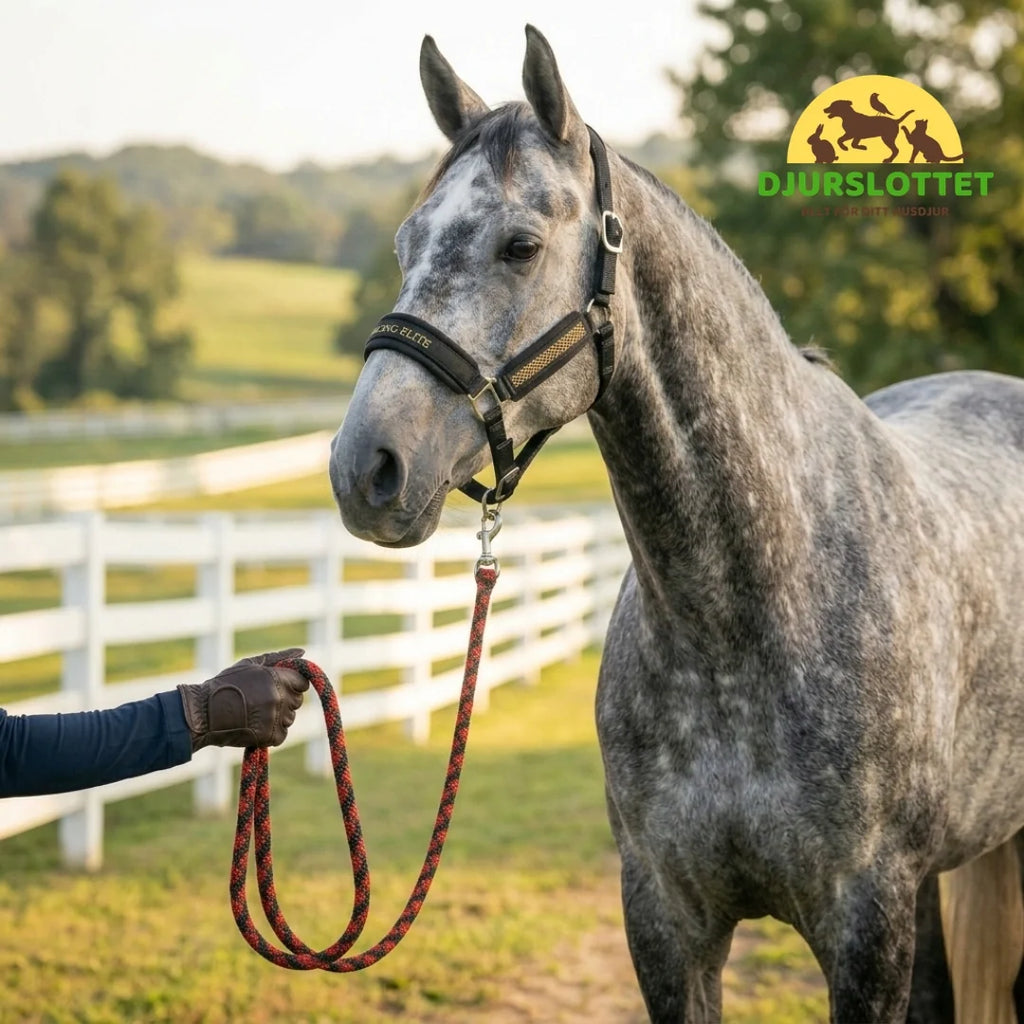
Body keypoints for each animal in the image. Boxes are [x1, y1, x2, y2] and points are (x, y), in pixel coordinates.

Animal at [329, 26, 1024, 1023]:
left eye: (520, 245)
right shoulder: (665, 921)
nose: (366, 469)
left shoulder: (867, 927)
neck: (749, 615)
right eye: (405, 242)